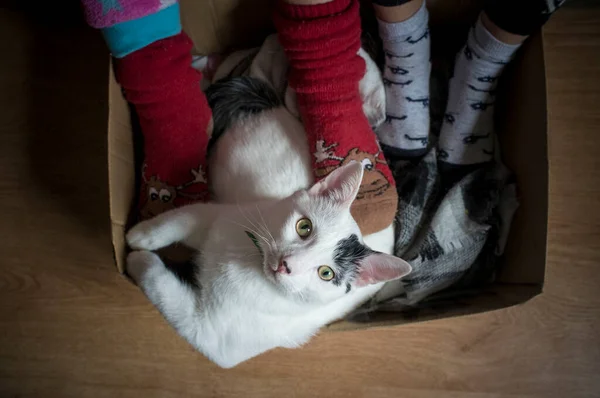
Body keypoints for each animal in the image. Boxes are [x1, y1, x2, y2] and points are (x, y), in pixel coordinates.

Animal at [124, 52, 410, 366]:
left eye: (326, 274)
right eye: (304, 227)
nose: (286, 264)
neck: (247, 260)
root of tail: (267, 101)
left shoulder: (209, 335)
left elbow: (163, 289)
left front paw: (138, 260)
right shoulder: (221, 214)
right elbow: (178, 219)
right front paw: (140, 235)